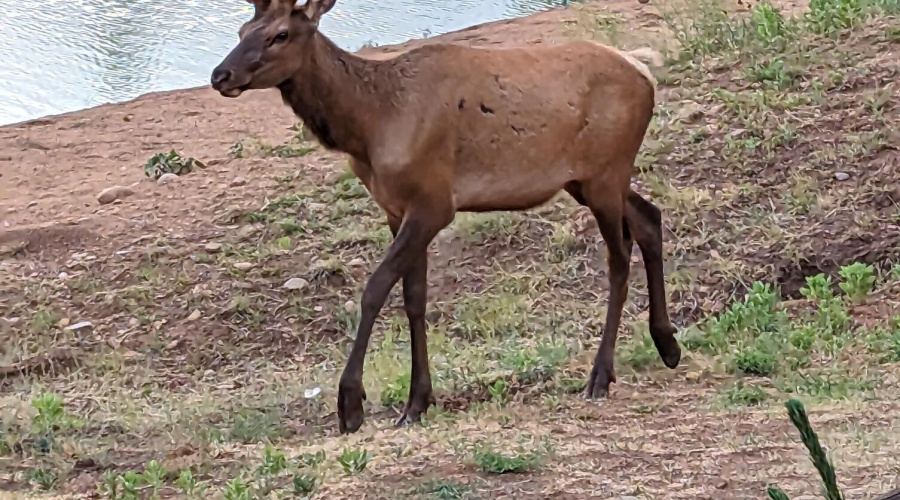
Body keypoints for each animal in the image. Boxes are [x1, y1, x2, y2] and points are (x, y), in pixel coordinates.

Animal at [211, 0, 684, 434]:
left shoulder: (434, 203)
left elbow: (375, 288)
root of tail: (646, 75)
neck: (368, 127)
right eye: (241, 30)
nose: (220, 75)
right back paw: (667, 343)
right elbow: (414, 298)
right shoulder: (396, 208)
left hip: (605, 172)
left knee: (618, 257)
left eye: (280, 34)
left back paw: (601, 375)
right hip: (587, 181)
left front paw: (351, 404)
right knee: (649, 218)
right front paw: (418, 401)